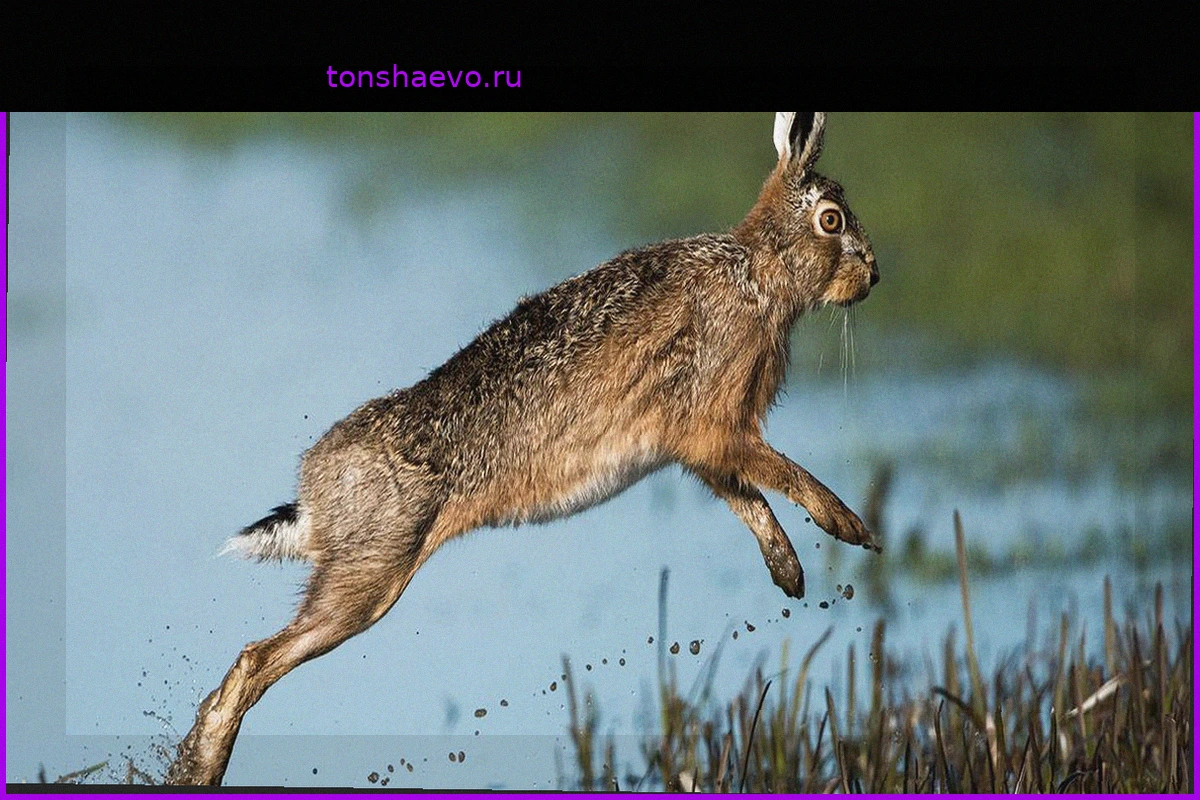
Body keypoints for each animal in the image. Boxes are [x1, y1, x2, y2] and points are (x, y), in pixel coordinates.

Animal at [166, 112, 880, 785]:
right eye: (831, 219)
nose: (874, 274)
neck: (760, 272)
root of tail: (314, 491)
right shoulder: (716, 422)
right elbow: (780, 472)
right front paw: (851, 527)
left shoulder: (698, 445)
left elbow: (746, 497)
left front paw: (789, 575)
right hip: (371, 574)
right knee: (254, 662)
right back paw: (199, 768)